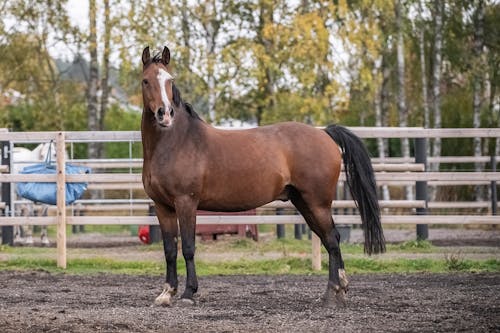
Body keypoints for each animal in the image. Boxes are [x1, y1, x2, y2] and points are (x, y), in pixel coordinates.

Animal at [143, 46, 384, 306]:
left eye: (169, 80)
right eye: (146, 81)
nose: (164, 114)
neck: (177, 142)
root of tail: (325, 133)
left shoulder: (186, 202)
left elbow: (188, 247)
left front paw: (189, 293)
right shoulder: (163, 207)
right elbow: (169, 249)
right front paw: (167, 293)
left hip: (317, 203)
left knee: (332, 238)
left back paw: (334, 291)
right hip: (304, 202)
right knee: (329, 240)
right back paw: (335, 291)